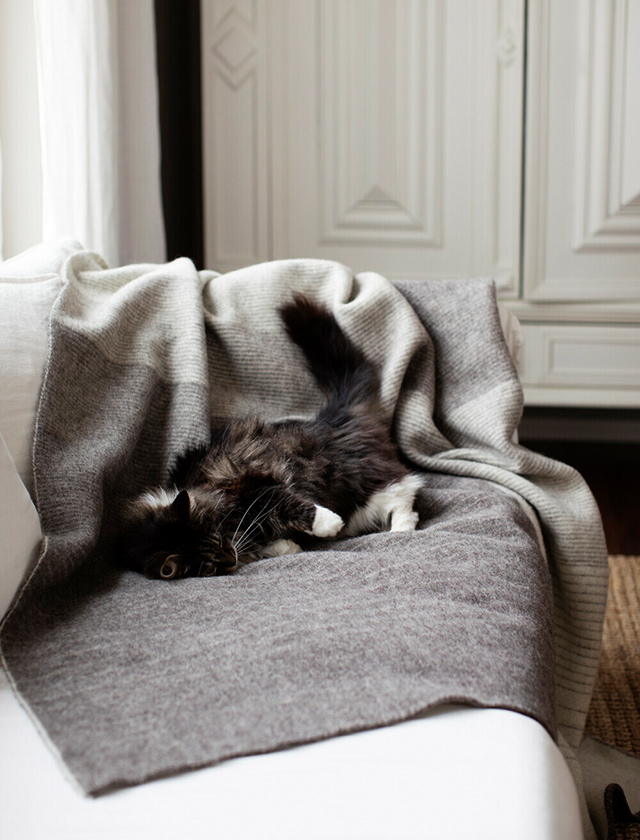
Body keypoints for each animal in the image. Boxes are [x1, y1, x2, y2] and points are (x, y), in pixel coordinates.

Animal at [120, 294, 422, 576]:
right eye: (208, 568)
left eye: (216, 536)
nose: (230, 559)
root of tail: (331, 414)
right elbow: (271, 539)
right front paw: (288, 547)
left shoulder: (251, 486)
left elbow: (292, 505)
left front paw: (329, 524)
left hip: (364, 482)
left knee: (405, 493)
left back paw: (400, 529)